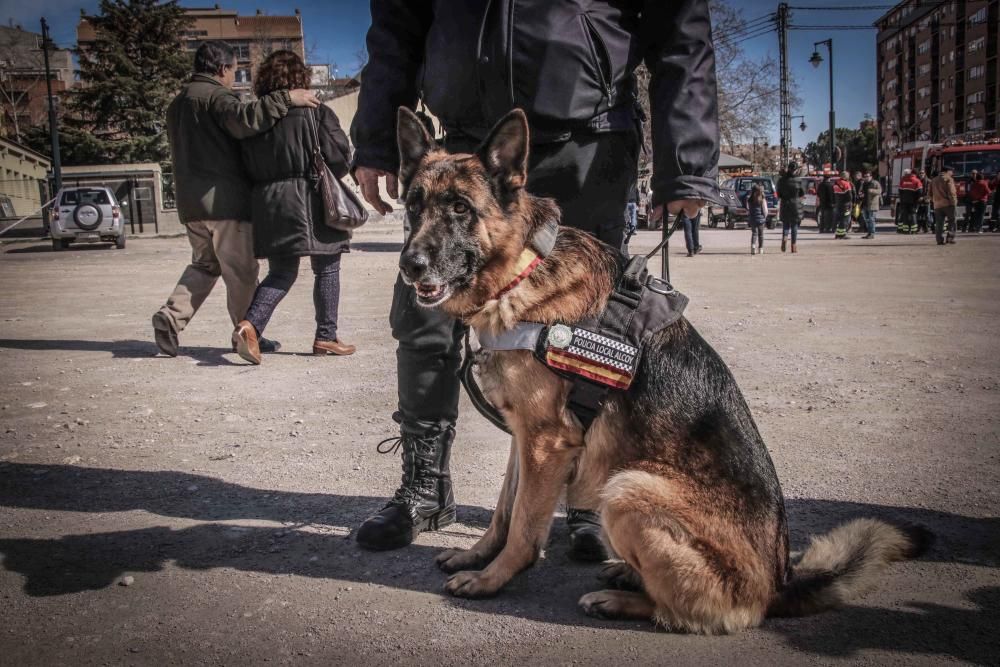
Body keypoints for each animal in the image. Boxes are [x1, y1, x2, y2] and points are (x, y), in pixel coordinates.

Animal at [394, 107, 932, 636]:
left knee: (699, 613)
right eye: (414, 206)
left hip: (627, 490)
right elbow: (506, 509)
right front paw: (477, 555)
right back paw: (624, 574)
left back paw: (619, 599)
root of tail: (778, 584)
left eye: (460, 208)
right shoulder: (526, 438)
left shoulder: (546, 442)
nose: (409, 264)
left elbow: (525, 526)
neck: (522, 269)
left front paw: (492, 579)